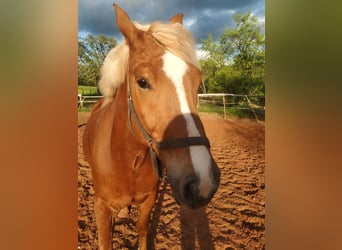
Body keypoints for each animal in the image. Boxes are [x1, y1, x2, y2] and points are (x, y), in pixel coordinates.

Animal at [83, 4, 222, 250]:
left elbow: (142, 227)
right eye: (142, 82)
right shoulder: (100, 207)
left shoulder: (149, 198)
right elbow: (105, 240)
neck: (127, 161)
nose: (203, 182)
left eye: (197, 80)